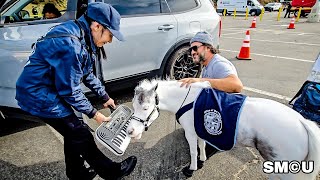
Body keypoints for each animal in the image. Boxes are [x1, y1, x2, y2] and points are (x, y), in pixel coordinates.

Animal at [126, 79, 320, 179]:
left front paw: (192, 168)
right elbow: (202, 145)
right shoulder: (200, 129)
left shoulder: (190, 132)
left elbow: (193, 151)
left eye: (145, 108)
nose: (131, 132)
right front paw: (203, 160)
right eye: (134, 105)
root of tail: (303, 122)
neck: (188, 99)